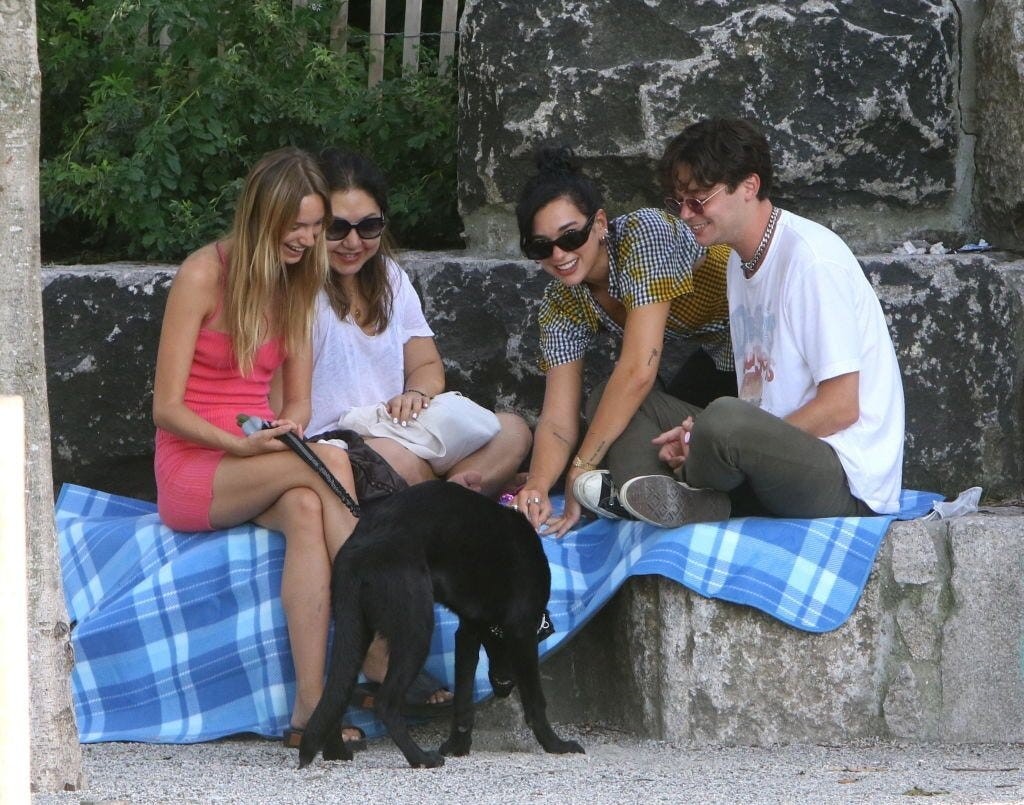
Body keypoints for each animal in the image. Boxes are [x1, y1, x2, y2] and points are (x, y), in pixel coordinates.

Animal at [296, 477, 585, 766]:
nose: (503, 688)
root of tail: (359, 546)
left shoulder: (468, 632)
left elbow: (463, 700)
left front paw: (458, 745)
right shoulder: (522, 632)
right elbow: (536, 701)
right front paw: (556, 745)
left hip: (355, 633)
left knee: (337, 693)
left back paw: (337, 753)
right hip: (416, 631)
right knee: (385, 703)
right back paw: (420, 758)